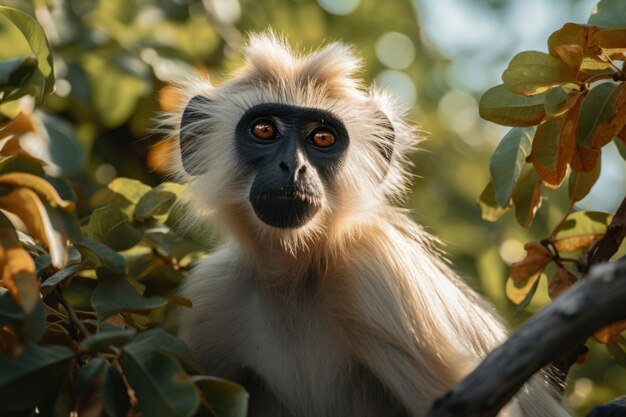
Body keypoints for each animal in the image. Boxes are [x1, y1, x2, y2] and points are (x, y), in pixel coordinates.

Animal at [172, 30, 572, 414]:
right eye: (264, 131)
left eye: (322, 137)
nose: (294, 167)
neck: (293, 277)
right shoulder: (210, 294)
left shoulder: (375, 267)